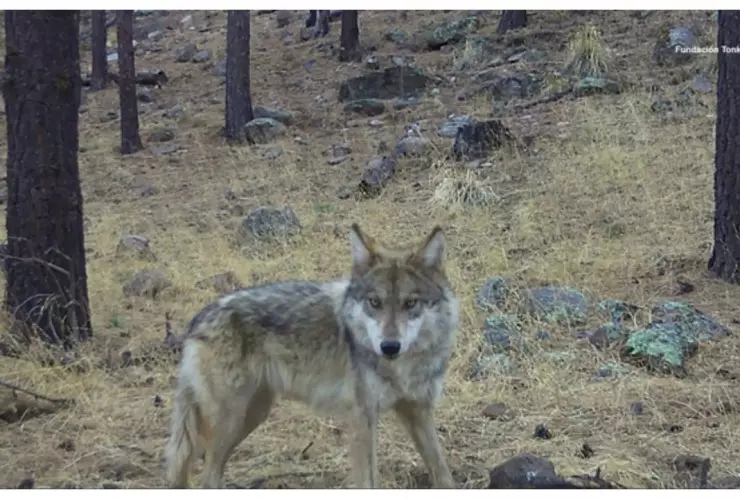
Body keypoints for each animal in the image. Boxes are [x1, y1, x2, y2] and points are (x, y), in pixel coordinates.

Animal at [163, 224, 460, 489]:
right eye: (375, 302)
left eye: (411, 303)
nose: (389, 346)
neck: (403, 369)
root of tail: (199, 319)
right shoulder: (362, 419)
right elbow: (369, 483)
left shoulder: (419, 411)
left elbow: (444, 475)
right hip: (231, 418)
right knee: (207, 476)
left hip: (252, 414)